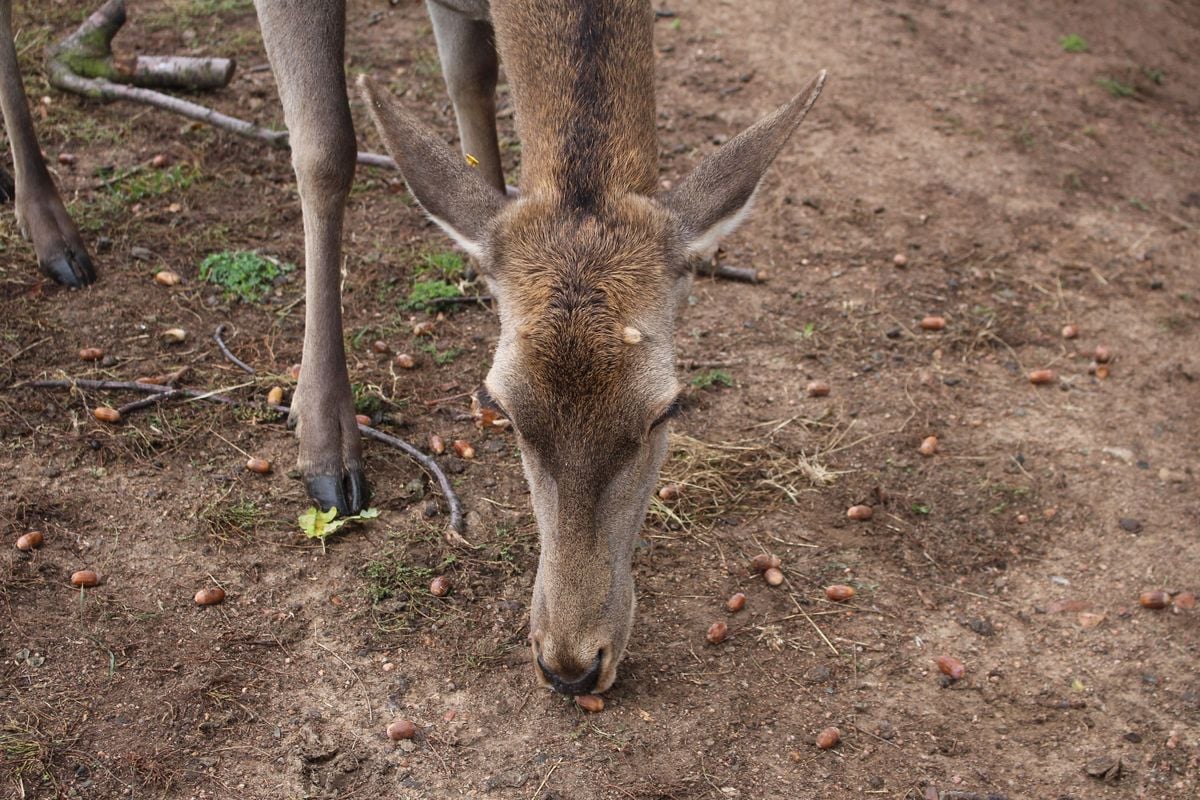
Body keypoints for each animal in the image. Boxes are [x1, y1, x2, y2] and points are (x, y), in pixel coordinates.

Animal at [0, 0, 820, 695]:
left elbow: (471, 83)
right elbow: (325, 147)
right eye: (507, 410)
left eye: (665, 411)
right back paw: (53, 234)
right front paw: (324, 442)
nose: (570, 664)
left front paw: (476, 269)